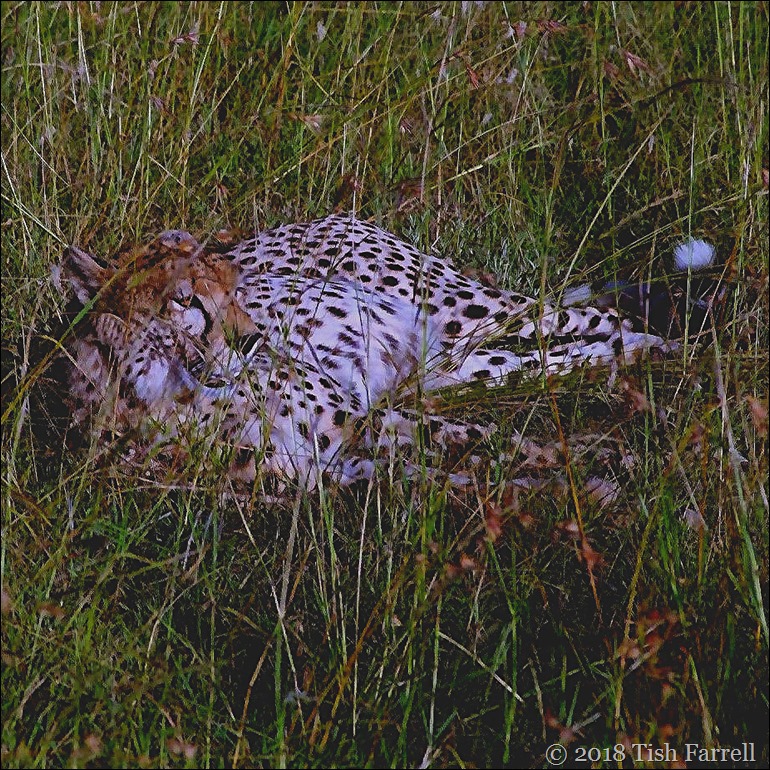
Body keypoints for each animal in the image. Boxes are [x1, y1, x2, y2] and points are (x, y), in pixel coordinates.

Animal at [57, 213, 717, 490]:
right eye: (185, 300)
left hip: (471, 312)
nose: (253, 338)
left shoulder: (359, 419)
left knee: (596, 319)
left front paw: (606, 460)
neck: (167, 398)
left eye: (236, 286)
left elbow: (497, 442)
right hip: (450, 368)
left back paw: (677, 355)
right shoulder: (331, 469)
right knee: (558, 360)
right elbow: (459, 466)